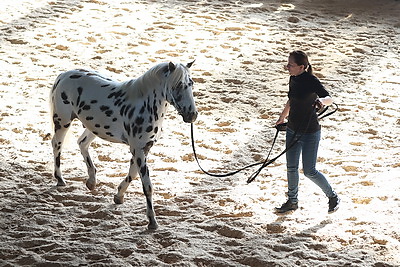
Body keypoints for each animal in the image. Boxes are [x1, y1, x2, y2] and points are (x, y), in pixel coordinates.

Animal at [50, 61, 198, 230]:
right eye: (178, 85)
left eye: (191, 84)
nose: (192, 115)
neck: (145, 104)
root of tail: (63, 75)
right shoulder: (138, 150)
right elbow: (147, 186)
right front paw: (152, 222)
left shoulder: (143, 149)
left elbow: (132, 174)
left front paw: (118, 196)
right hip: (63, 121)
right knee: (57, 144)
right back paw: (60, 179)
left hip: (94, 127)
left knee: (82, 143)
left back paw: (91, 182)